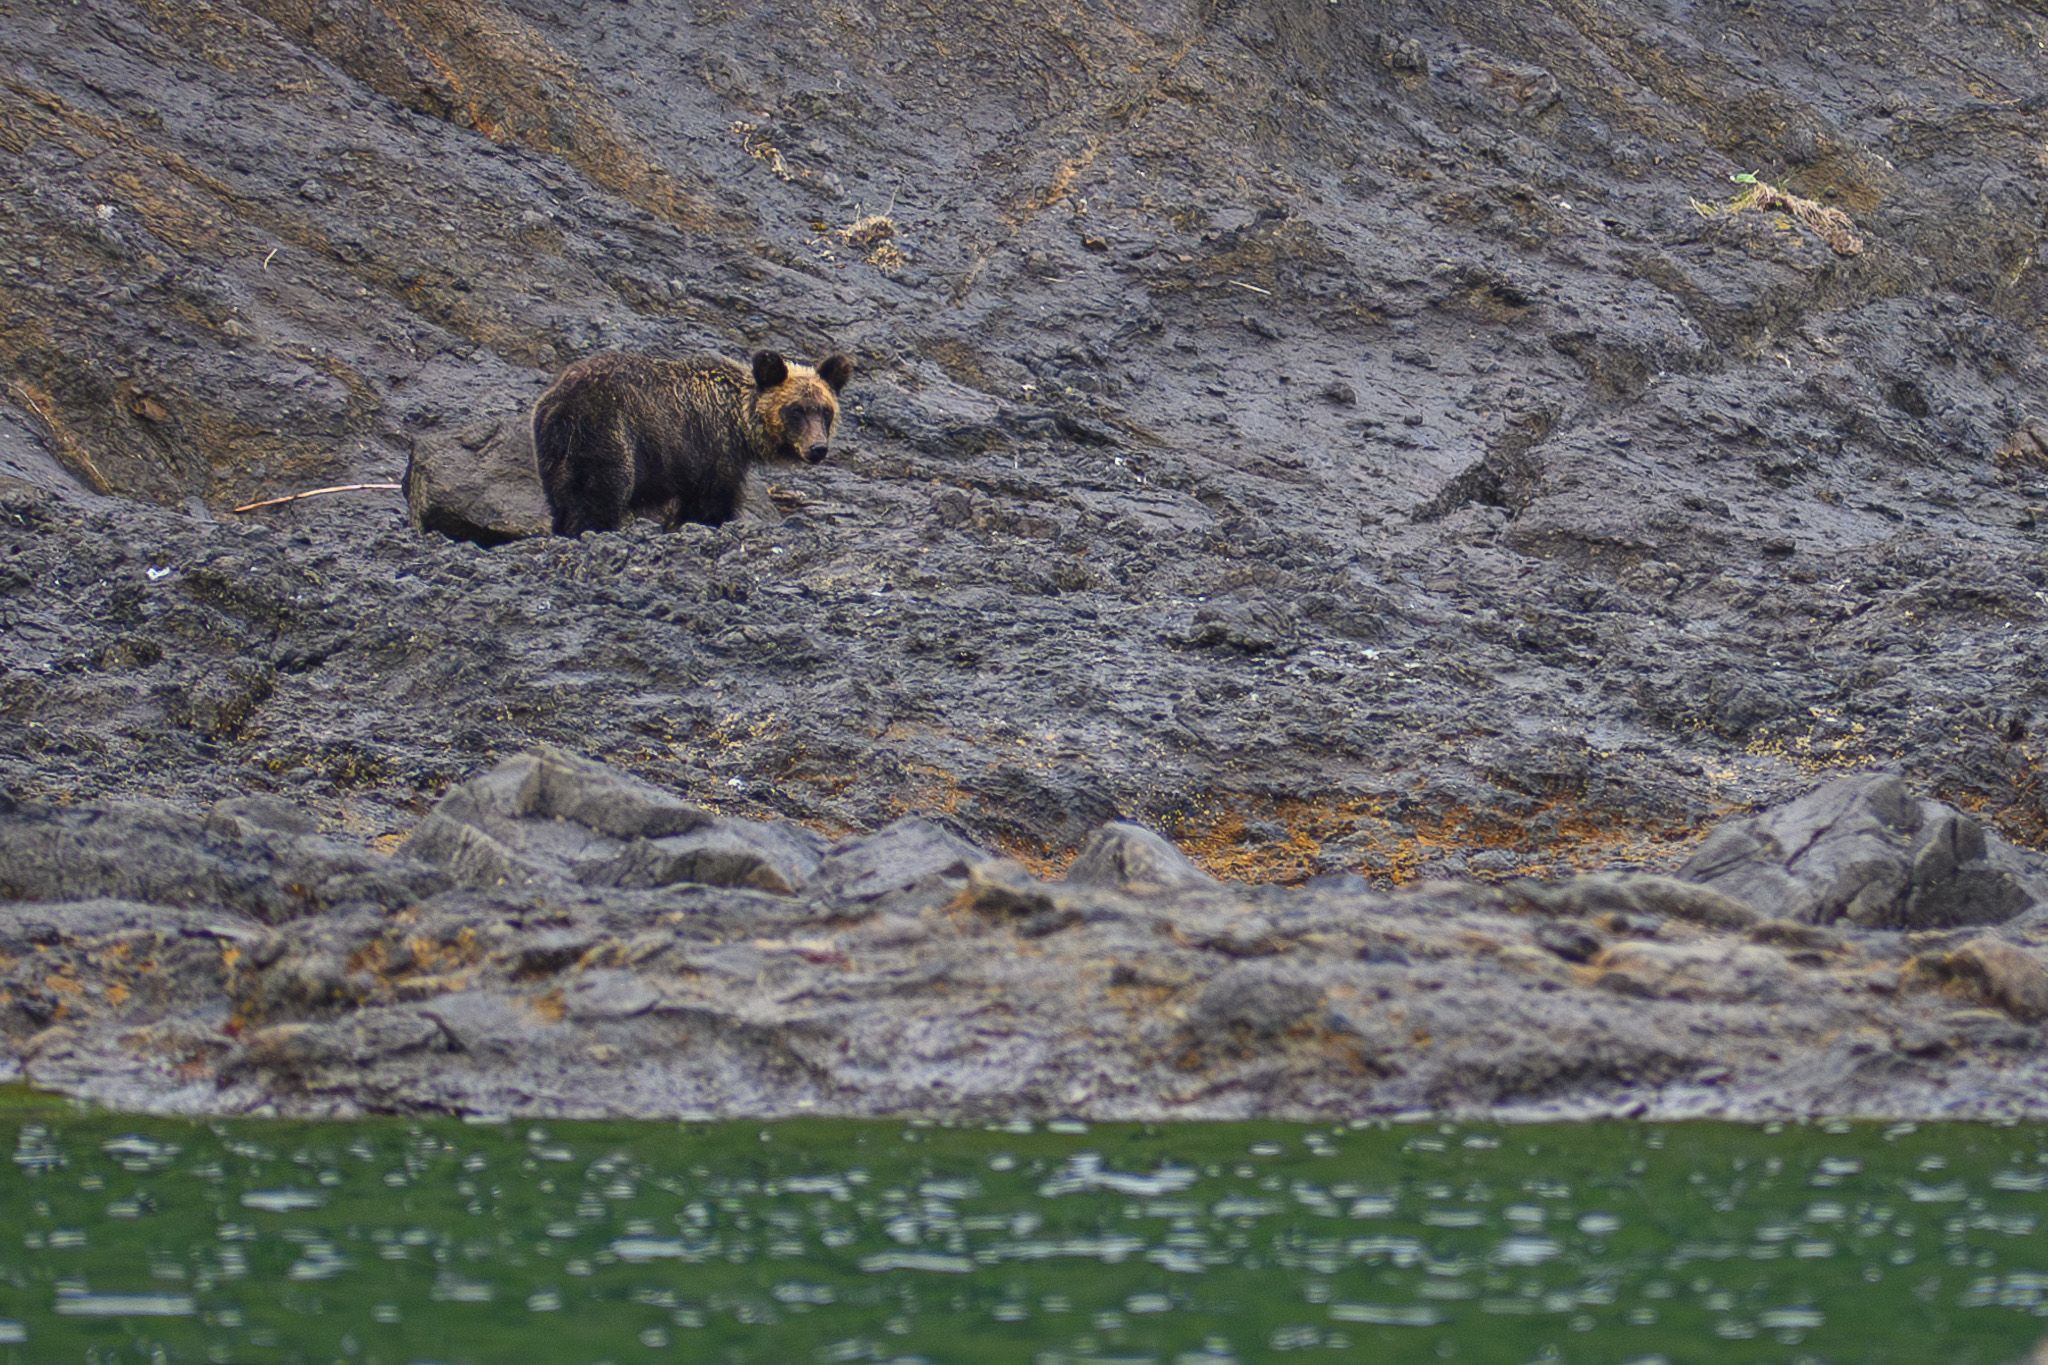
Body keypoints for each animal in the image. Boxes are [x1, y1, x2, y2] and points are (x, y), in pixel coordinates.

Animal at [532, 348, 853, 536]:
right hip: (608, 435)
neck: (740, 420)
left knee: (562, 501)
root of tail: (563, 406)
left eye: (825, 410)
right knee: (602, 494)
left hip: (552, 453)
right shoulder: (712, 450)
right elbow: (710, 505)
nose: (817, 449)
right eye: (796, 409)